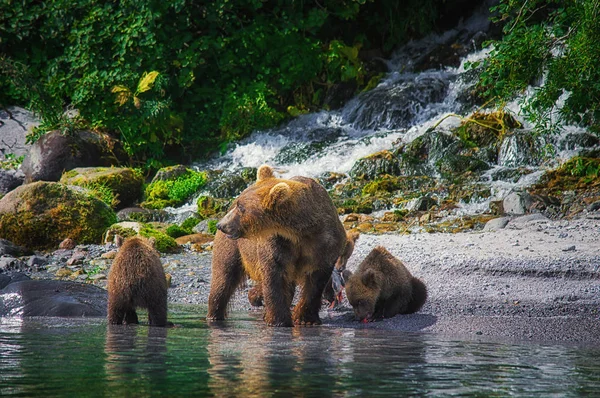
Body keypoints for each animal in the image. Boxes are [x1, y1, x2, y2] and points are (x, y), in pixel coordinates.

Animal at [207, 163, 344, 324]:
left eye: (241, 207)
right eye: (238, 203)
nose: (221, 225)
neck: (300, 232)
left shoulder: (324, 245)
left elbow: (316, 283)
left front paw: (305, 318)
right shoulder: (279, 243)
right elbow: (274, 276)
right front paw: (278, 319)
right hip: (234, 247)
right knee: (224, 277)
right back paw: (215, 314)